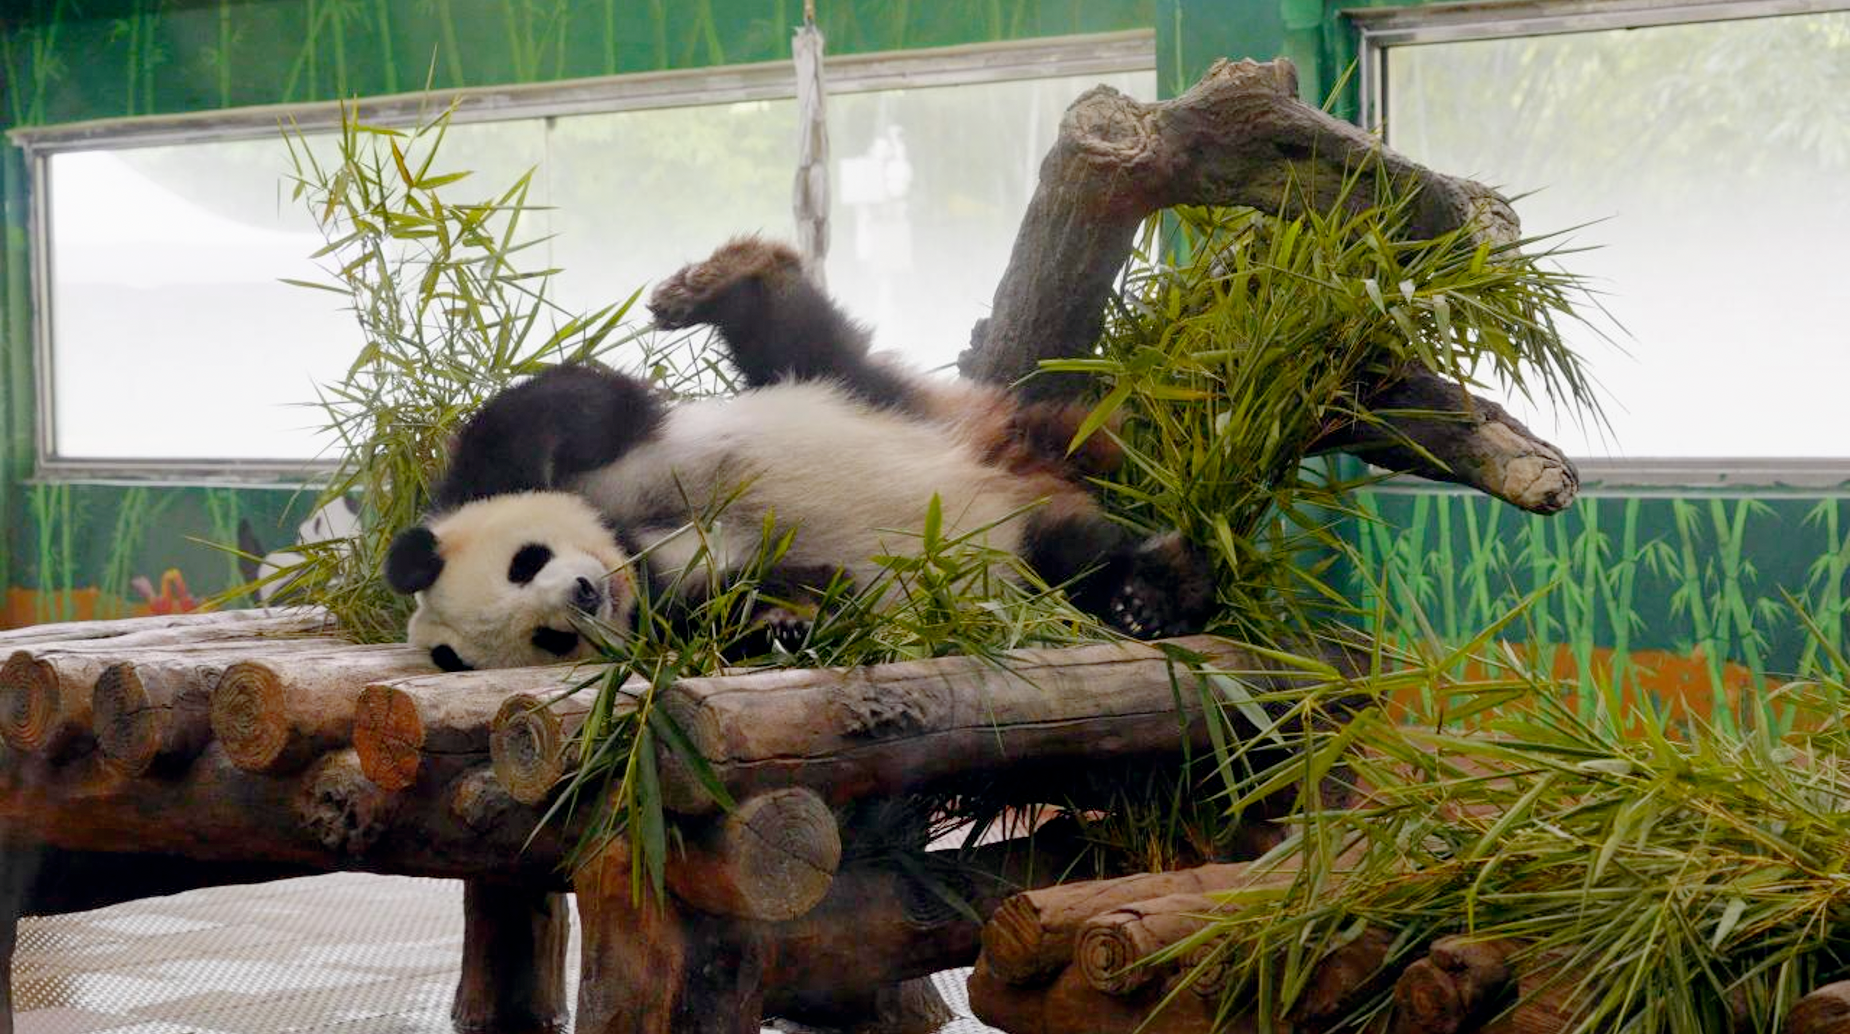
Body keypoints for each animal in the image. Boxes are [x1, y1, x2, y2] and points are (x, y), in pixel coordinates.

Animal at [384, 237, 1212, 671]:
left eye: (525, 562)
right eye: (548, 639)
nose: (587, 594)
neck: (631, 546)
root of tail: (1013, 456)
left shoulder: (550, 461)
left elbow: (560, 409)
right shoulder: (677, 612)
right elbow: (767, 601)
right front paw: (787, 624)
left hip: (862, 396)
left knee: (794, 336)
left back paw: (726, 279)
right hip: (1001, 556)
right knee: (1069, 559)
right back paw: (1142, 596)